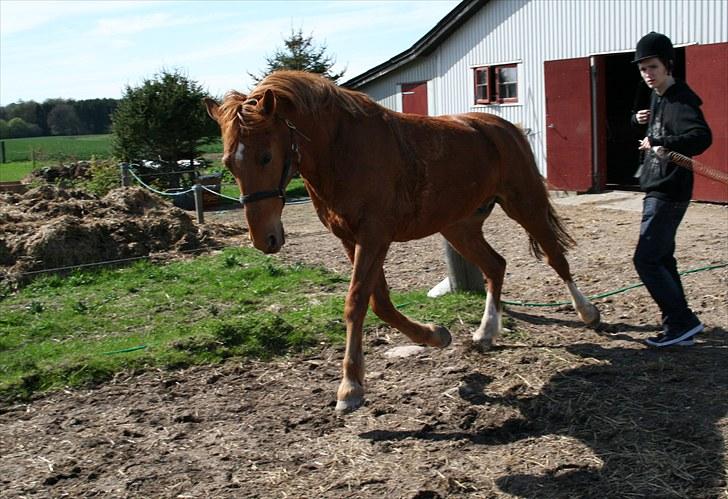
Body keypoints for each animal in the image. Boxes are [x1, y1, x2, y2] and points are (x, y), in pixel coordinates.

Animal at [203, 70, 596, 414]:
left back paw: (588, 312)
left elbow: (357, 303)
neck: (343, 151)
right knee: (495, 266)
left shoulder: (374, 236)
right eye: (229, 164)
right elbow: (380, 303)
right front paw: (436, 335)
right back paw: (485, 333)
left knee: (555, 257)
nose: (265, 239)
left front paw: (350, 388)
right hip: (459, 226)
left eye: (266, 156)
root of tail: (505, 127)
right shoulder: (352, 240)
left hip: (524, 204)